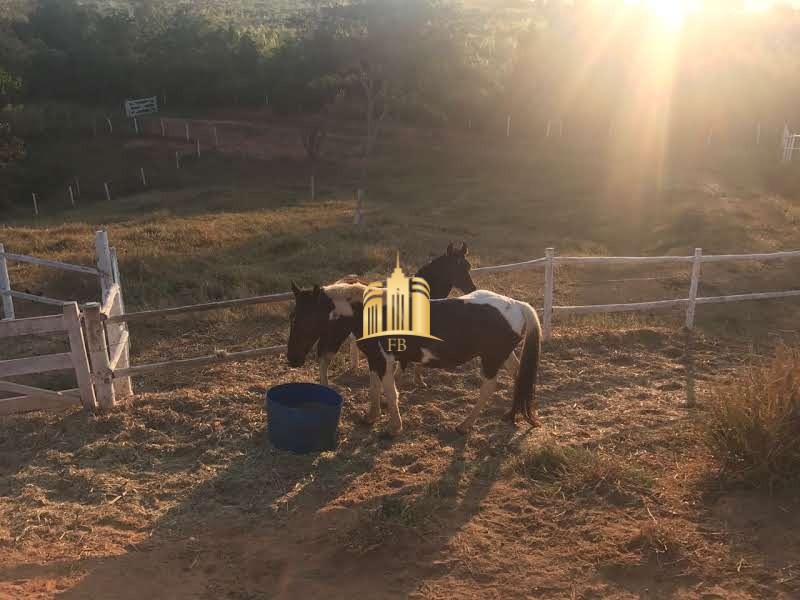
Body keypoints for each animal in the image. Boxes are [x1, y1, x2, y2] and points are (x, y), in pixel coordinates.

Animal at [284, 284, 540, 434]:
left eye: (306, 318)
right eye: (292, 316)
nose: (292, 359)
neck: (369, 313)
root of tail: (517, 305)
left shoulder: (385, 360)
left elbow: (390, 392)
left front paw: (394, 428)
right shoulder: (375, 359)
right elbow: (374, 388)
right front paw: (371, 417)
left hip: (491, 359)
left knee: (489, 388)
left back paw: (465, 425)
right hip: (502, 357)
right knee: (518, 376)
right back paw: (511, 414)